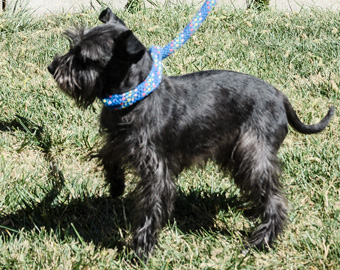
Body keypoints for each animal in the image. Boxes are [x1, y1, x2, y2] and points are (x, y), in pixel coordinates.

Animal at [47, 7, 334, 260]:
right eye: (73, 45)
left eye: (86, 59)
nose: (53, 67)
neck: (134, 97)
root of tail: (281, 97)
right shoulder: (119, 141)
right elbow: (109, 156)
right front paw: (116, 185)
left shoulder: (157, 171)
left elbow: (151, 208)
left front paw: (141, 250)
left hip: (254, 155)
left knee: (275, 200)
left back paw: (261, 241)